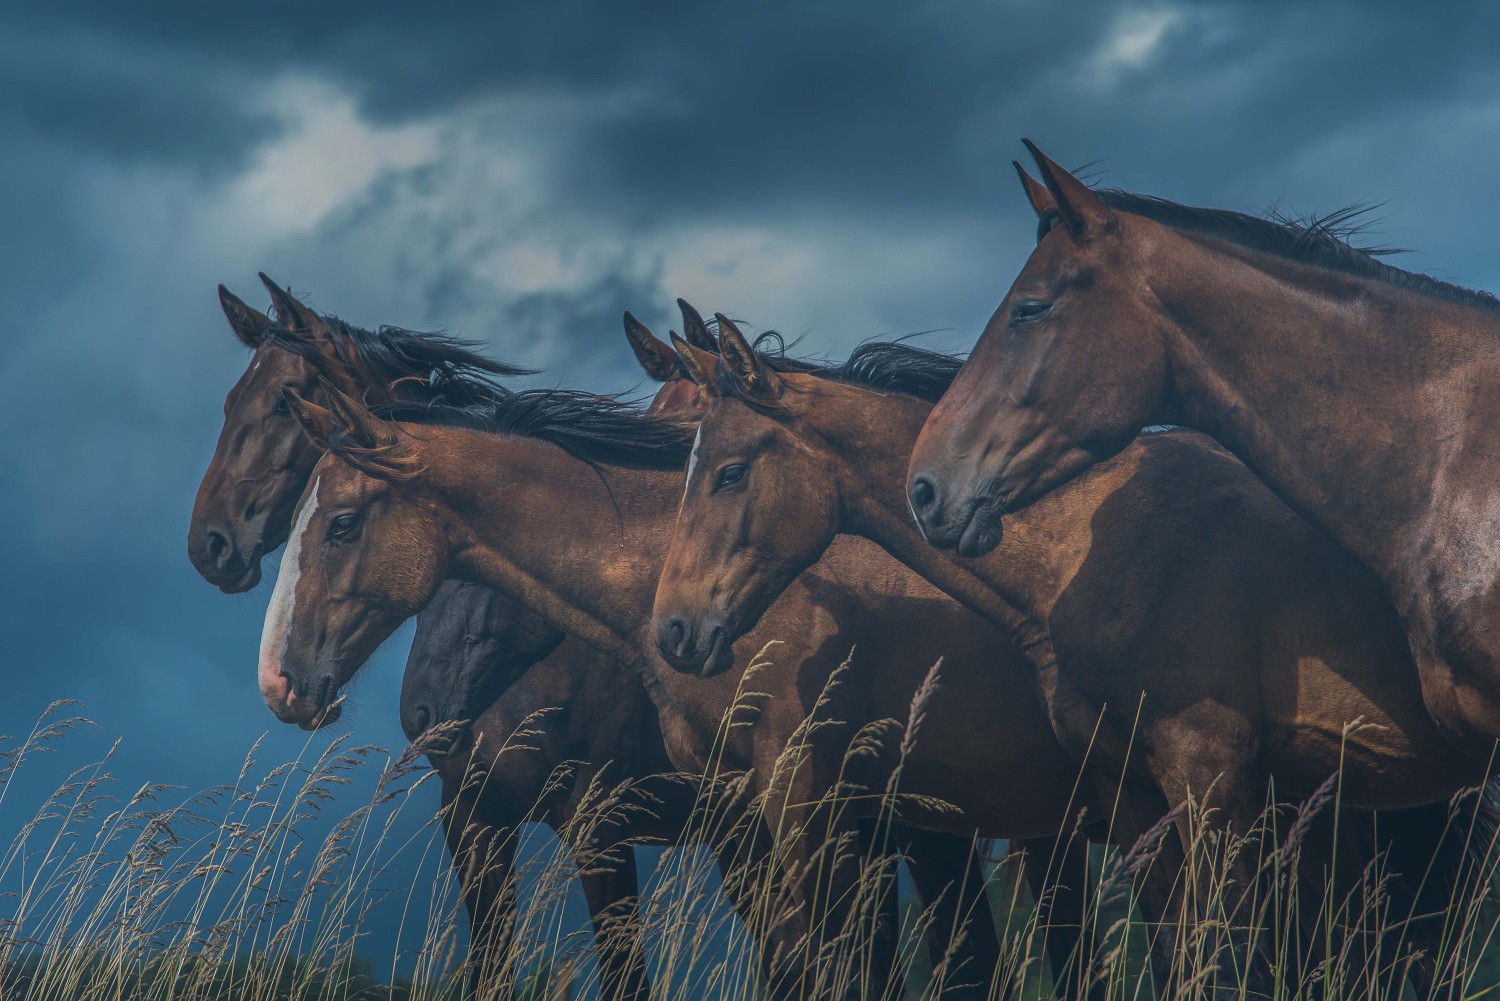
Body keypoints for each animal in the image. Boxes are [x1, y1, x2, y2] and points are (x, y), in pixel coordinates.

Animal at [651, 318, 1494, 997]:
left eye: (729, 471)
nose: (672, 629)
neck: (1093, 553)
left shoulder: (1215, 778)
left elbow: (1231, 963)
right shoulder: (1132, 794)